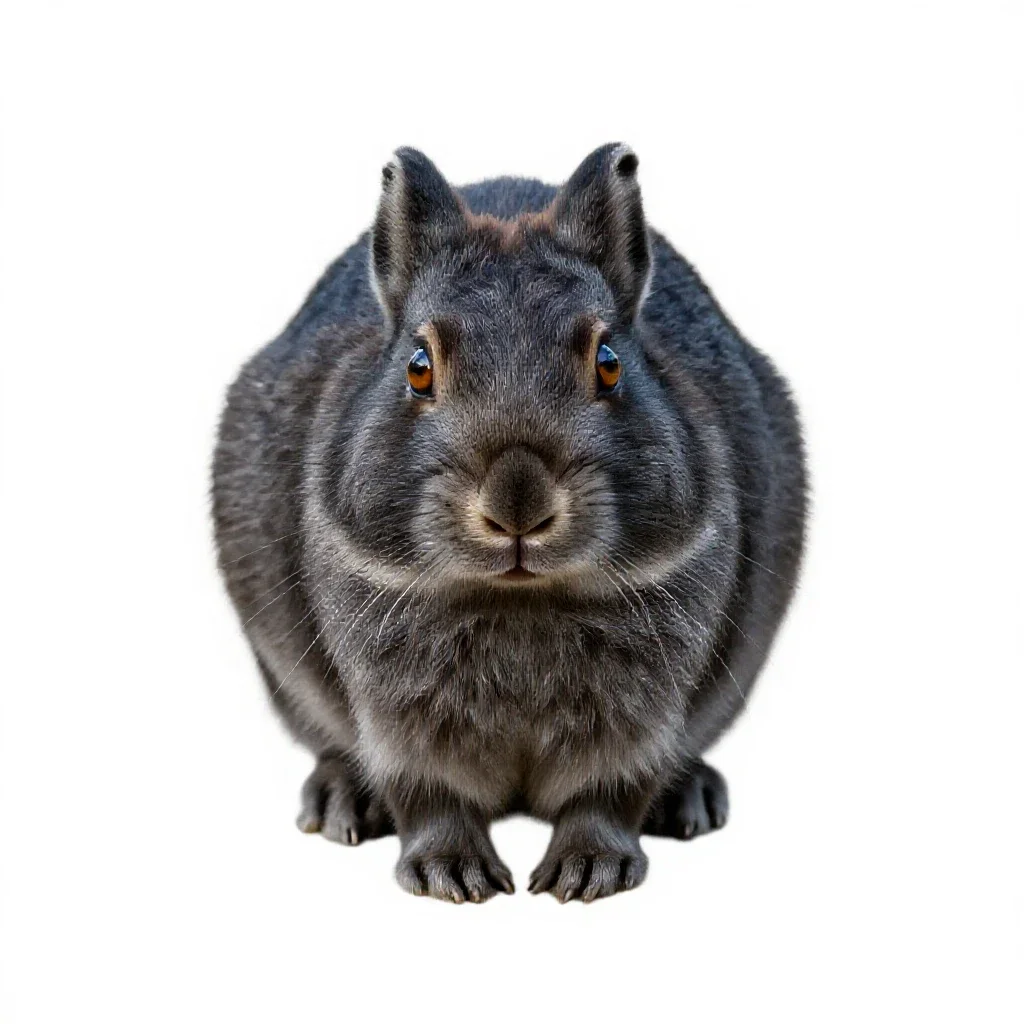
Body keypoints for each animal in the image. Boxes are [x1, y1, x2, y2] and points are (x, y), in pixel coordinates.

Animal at [212, 143, 807, 903]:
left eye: (609, 364)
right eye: (419, 367)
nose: (517, 503)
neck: (518, 596)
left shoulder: (641, 720)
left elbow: (609, 792)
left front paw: (590, 871)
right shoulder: (398, 721)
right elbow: (428, 794)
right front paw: (451, 875)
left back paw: (691, 799)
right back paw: (340, 800)